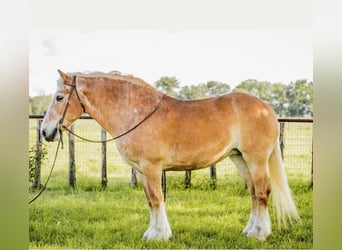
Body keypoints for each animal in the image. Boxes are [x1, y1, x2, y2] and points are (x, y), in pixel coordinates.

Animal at [41, 69, 300, 241]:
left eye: (59, 97)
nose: (45, 131)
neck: (135, 112)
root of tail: (265, 108)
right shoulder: (142, 170)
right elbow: (149, 199)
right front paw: (152, 232)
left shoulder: (152, 167)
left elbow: (157, 198)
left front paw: (161, 235)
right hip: (239, 159)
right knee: (254, 193)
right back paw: (250, 231)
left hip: (255, 160)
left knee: (263, 191)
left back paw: (260, 233)